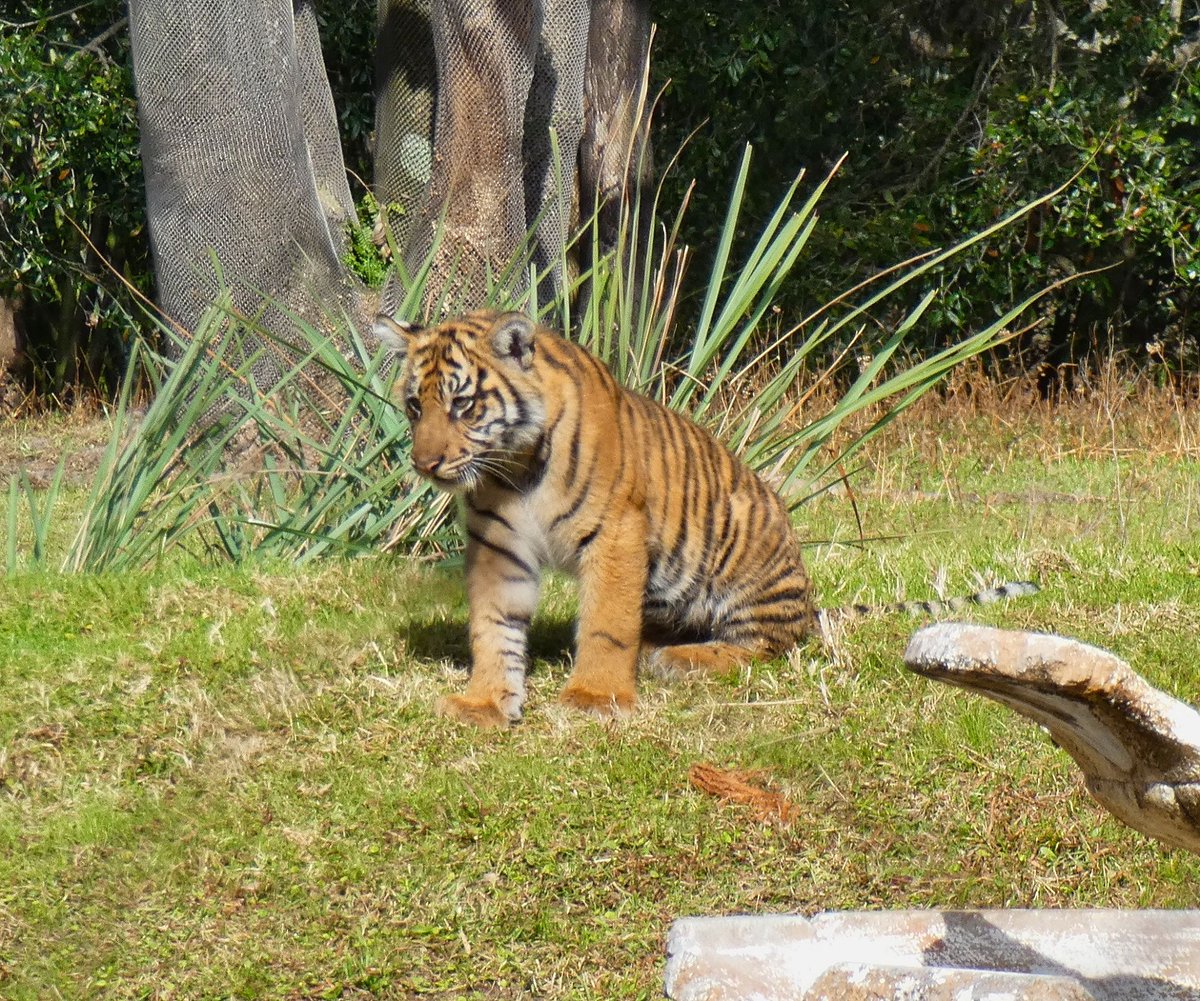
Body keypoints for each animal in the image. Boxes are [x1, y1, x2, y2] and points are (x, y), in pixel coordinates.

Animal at [373, 308, 1037, 728]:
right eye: (414, 406)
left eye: (463, 404)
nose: (426, 463)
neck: (513, 468)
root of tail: (808, 598)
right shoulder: (498, 546)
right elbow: (493, 627)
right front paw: (485, 703)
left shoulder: (616, 531)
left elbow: (607, 621)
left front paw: (594, 697)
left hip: (745, 558)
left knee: (764, 645)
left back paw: (679, 660)